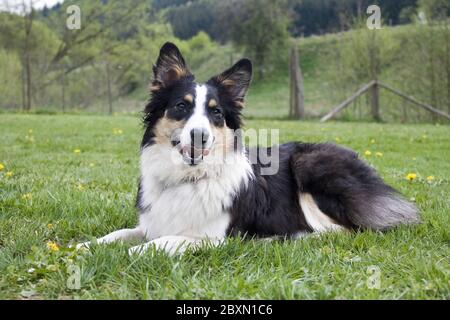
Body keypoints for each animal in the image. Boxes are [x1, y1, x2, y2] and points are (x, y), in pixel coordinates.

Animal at [76, 42, 418, 256]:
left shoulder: (211, 237)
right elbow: (118, 234)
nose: (199, 136)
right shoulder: (150, 223)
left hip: (309, 164)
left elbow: (164, 242)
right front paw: (84, 246)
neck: (188, 179)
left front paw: (135, 252)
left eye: (215, 112)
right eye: (181, 107)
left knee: (344, 231)